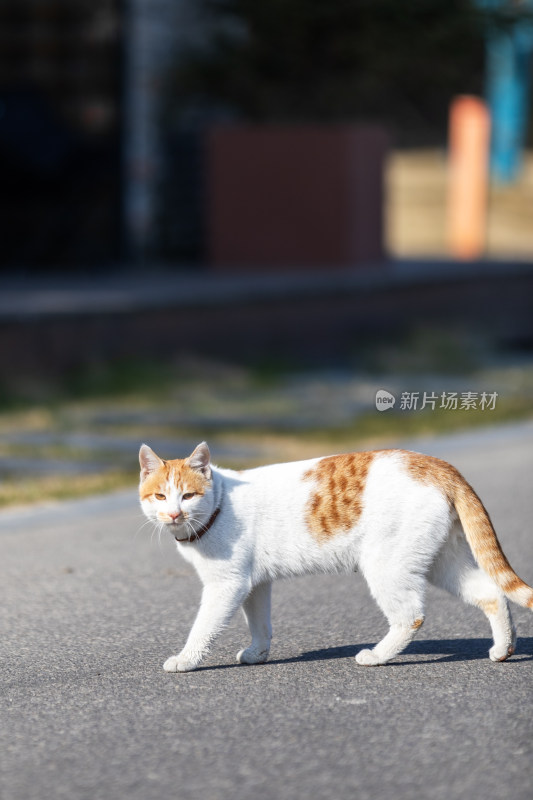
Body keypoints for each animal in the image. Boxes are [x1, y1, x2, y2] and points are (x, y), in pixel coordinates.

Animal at [138, 440, 532, 672]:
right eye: (160, 497)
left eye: (188, 495)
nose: (173, 514)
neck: (220, 503)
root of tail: (433, 463)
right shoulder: (254, 583)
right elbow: (260, 624)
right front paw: (257, 654)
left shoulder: (227, 585)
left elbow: (203, 627)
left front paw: (186, 660)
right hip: (441, 562)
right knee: (492, 594)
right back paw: (503, 649)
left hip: (386, 565)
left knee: (412, 616)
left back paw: (378, 656)